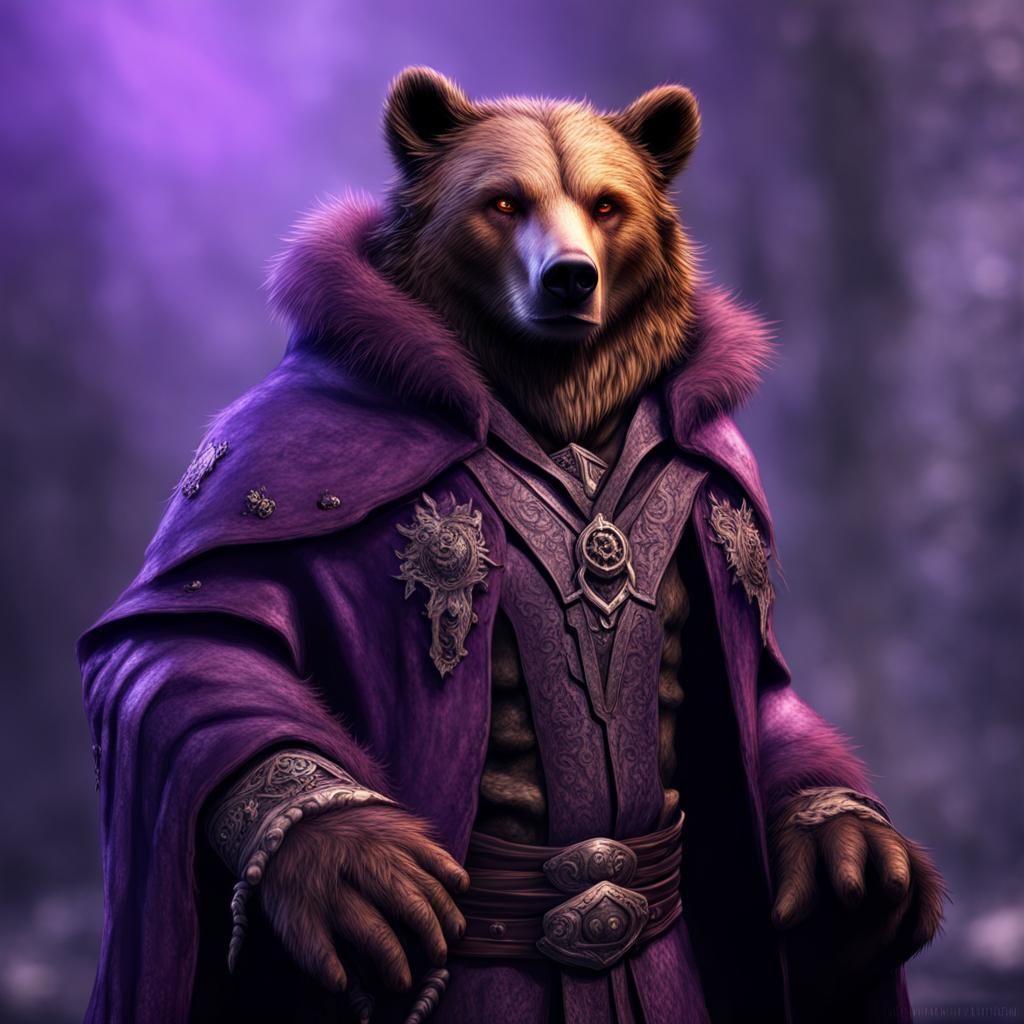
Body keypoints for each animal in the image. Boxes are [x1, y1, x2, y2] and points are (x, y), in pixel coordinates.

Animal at [79, 67, 945, 1024]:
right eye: (502, 202)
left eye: (608, 206)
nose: (570, 278)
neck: (557, 403)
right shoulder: (270, 468)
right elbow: (181, 640)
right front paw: (342, 851)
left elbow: (766, 690)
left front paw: (846, 846)